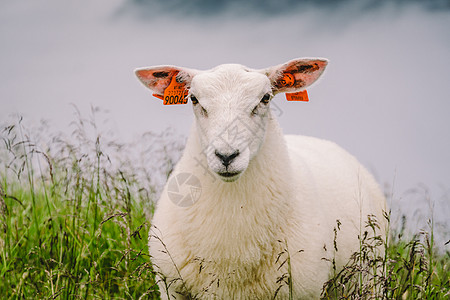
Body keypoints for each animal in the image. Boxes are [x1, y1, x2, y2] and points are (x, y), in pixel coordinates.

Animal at [134, 57, 386, 298]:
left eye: (265, 98)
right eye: (194, 99)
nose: (226, 155)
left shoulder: (305, 290)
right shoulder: (170, 287)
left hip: (370, 276)